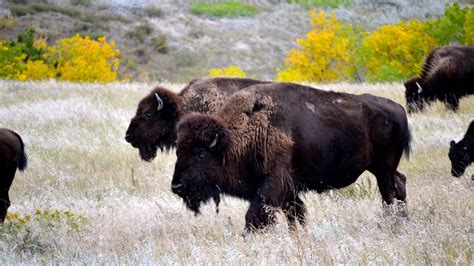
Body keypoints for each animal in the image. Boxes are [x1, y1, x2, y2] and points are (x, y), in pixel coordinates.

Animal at [170, 82, 412, 233]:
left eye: (201, 154)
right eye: (178, 151)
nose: (177, 186)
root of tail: (398, 108)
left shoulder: (274, 183)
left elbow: (256, 215)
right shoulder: (288, 189)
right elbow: (295, 214)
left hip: (383, 168)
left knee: (388, 193)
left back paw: (390, 223)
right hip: (380, 168)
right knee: (400, 184)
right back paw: (404, 221)